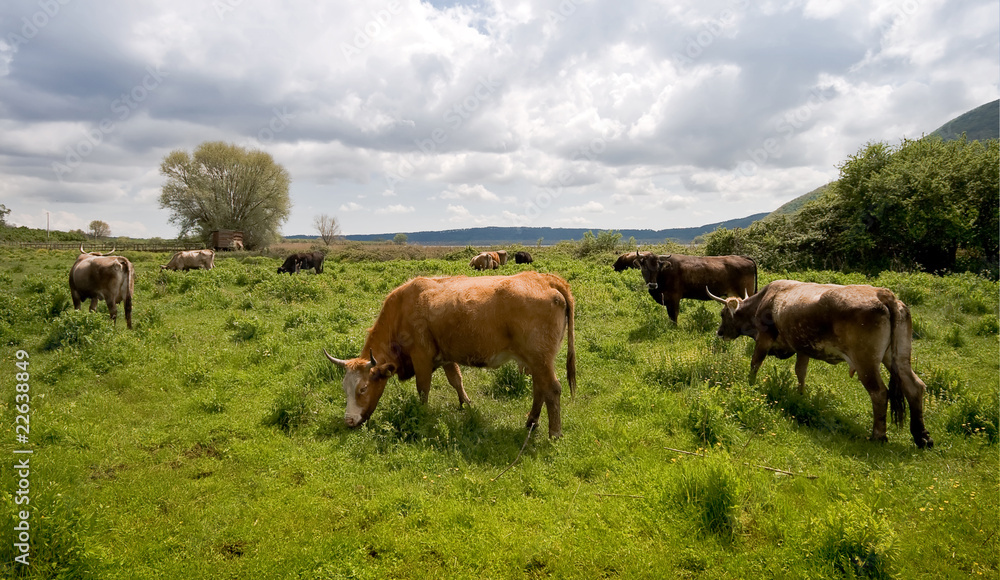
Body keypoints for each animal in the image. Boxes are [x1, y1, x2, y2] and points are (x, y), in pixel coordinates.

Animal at [324, 274, 580, 438]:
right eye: (344, 388)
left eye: (363, 389)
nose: (349, 420)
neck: (403, 309)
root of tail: (546, 279)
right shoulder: (446, 357)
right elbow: (456, 380)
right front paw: (466, 404)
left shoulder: (422, 358)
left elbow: (423, 390)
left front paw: (423, 415)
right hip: (535, 361)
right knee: (540, 388)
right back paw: (531, 421)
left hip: (540, 359)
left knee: (552, 389)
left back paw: (554, 432)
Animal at [708, 280, 932, 448]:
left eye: (722, 314)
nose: (719, 332)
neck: (765, 300)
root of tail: (884, 294)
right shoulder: (802, 348)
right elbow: (800, 372)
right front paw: (800, 396)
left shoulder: (763, 339)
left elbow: (755, 364)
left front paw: (750, 386)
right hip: (898, 357)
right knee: (914, 387)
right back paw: (921, 436)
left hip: (865, 362)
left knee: (879, 393)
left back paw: (878, 436)